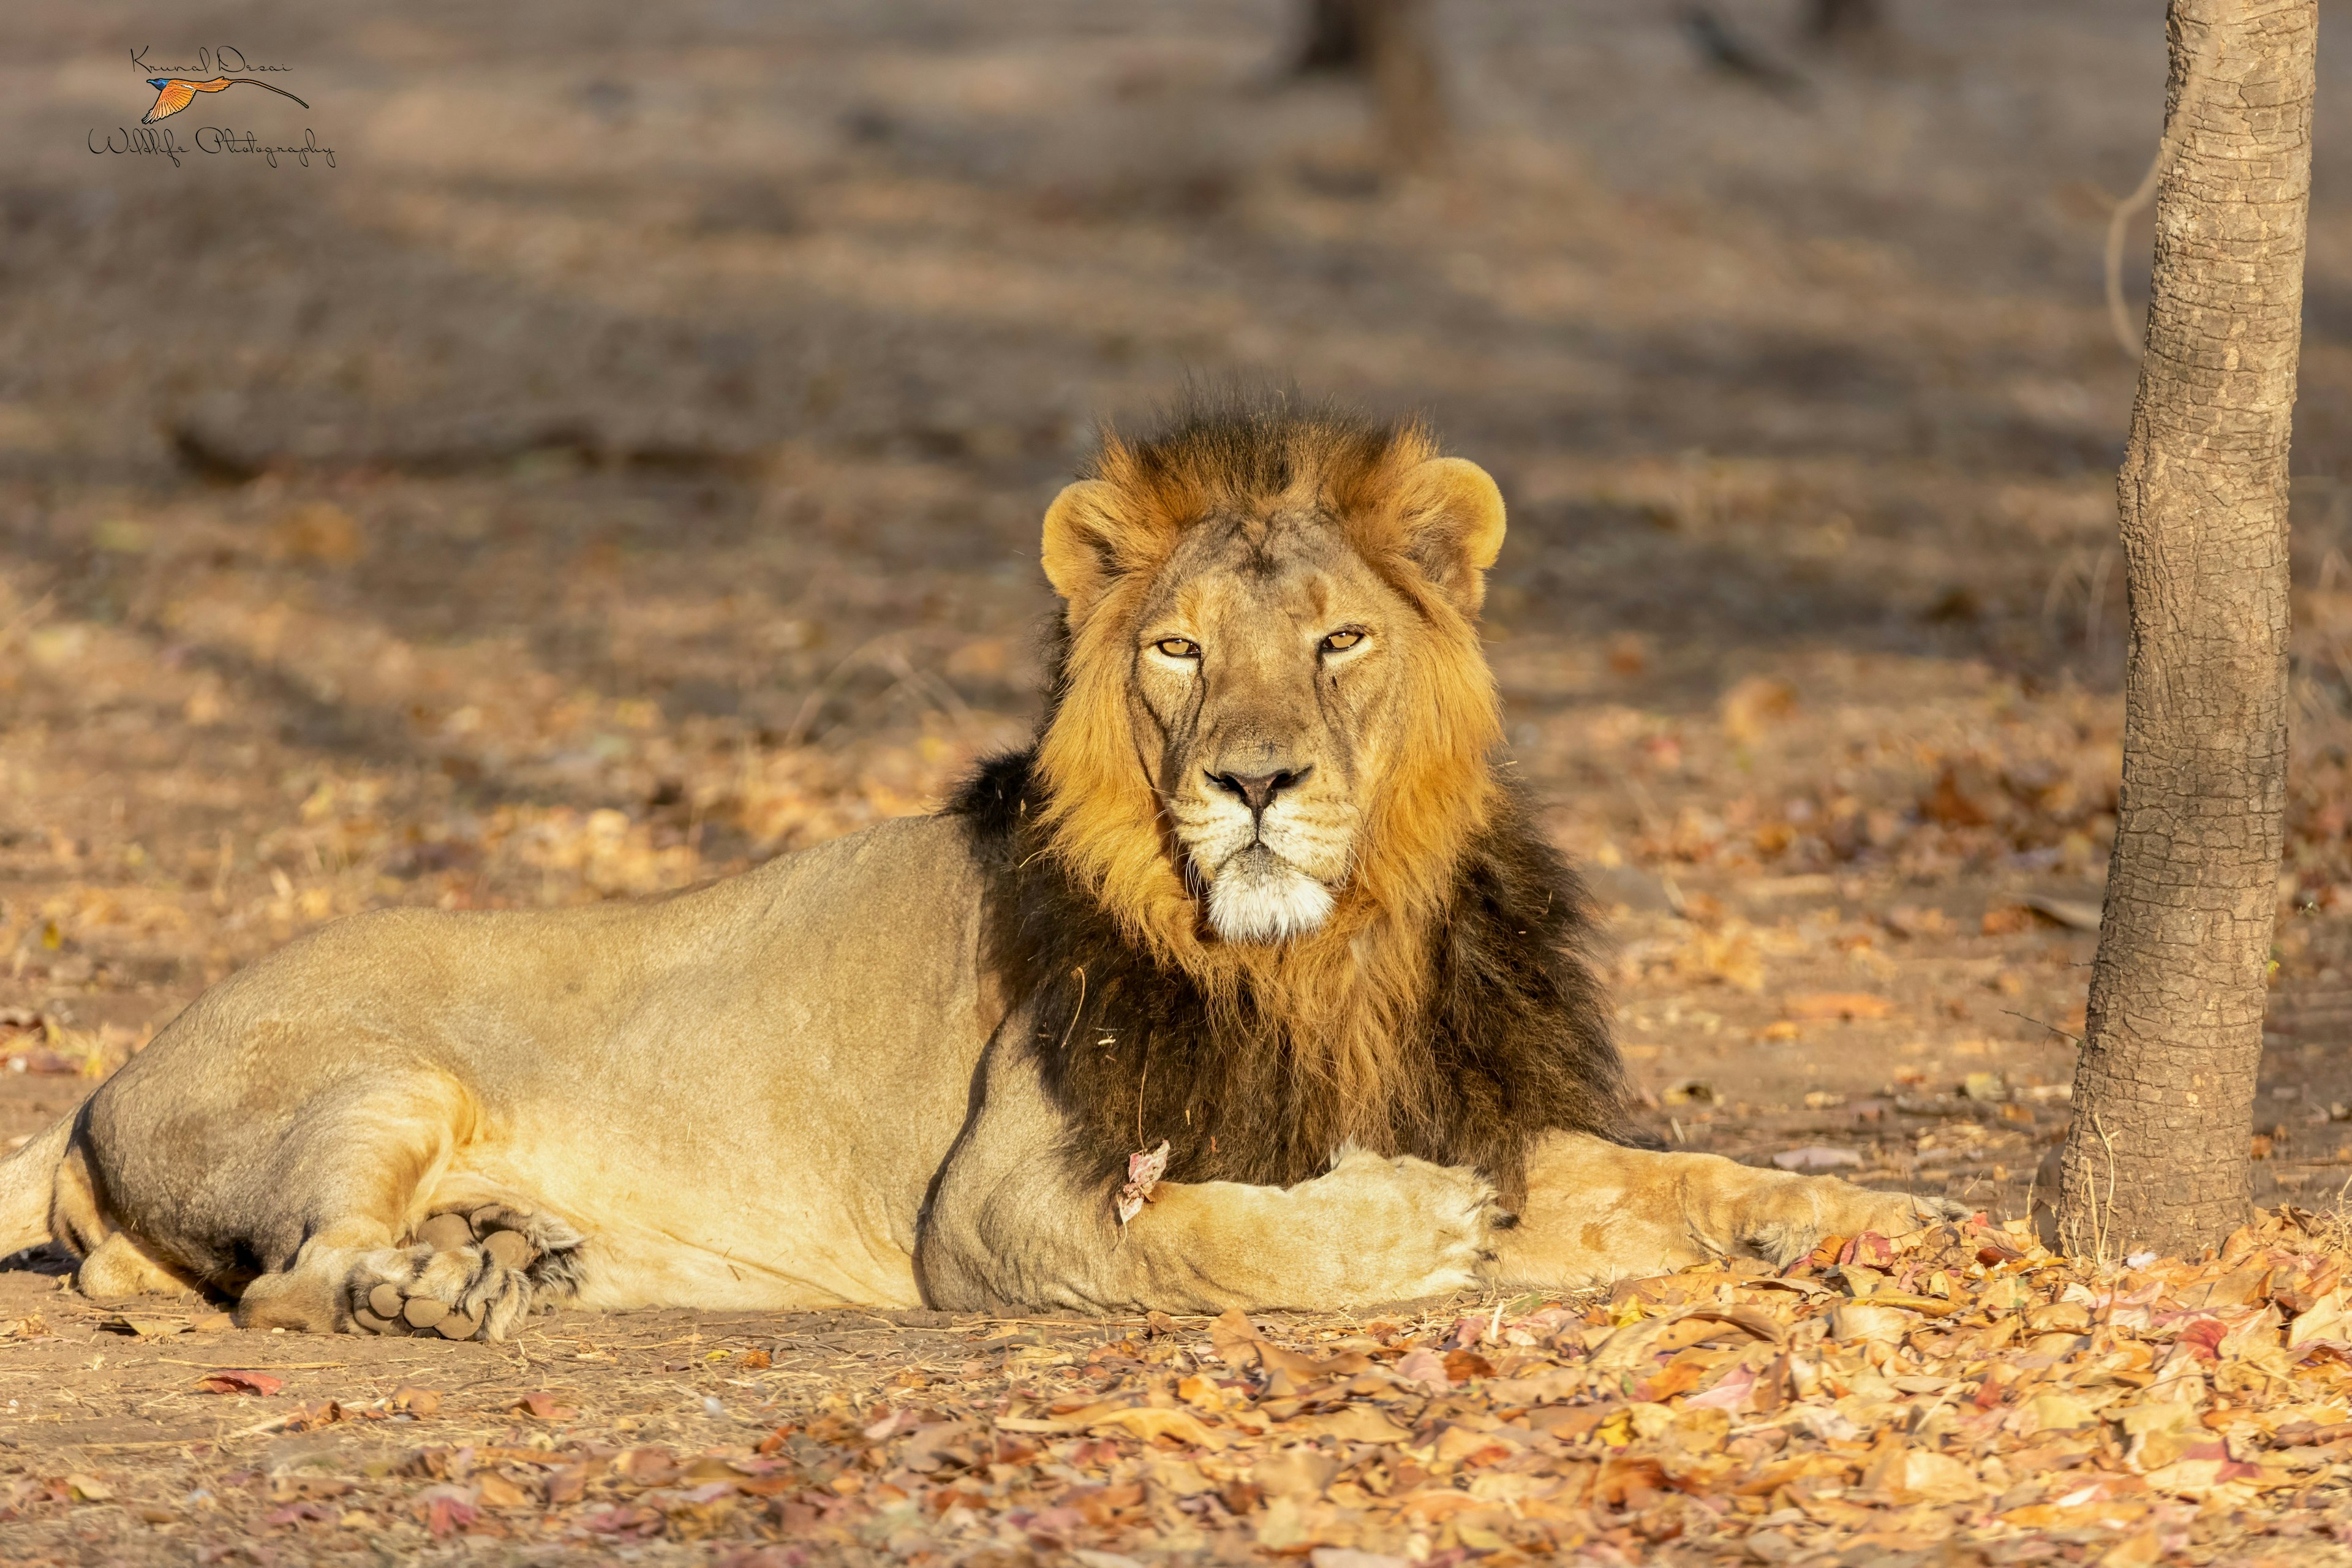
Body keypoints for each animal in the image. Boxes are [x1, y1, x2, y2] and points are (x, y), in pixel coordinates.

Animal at [0, 402, 1956, 1335]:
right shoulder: (1003, 1202)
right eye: (1176, 653)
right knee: (287, 1274)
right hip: (369, 1074)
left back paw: (500, 1254)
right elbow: (1222, 1241)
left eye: (1337, 642)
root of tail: (106, 1071)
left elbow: (1684, 1177)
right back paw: (424, 1290)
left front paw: (1891, 1220)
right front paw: (1408, 1229)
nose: (1254, 782)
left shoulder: (1480, 1101)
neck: (1317, 952)